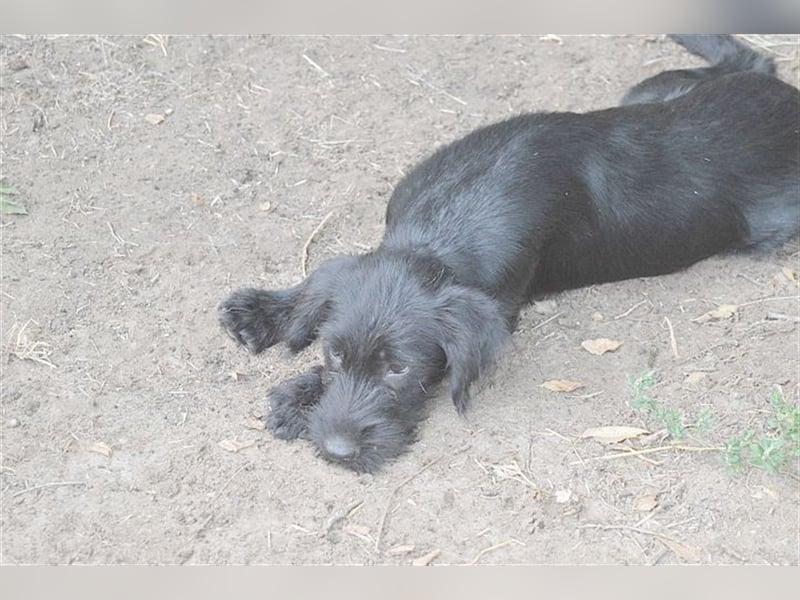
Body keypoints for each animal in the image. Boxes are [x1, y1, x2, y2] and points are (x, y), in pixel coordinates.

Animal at [219, 35, 800, 474]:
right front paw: (265, 317)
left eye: (400, 370)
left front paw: (297, 395)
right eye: (335, 354)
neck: (442, 226)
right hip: (647, 89)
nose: (337, 451)